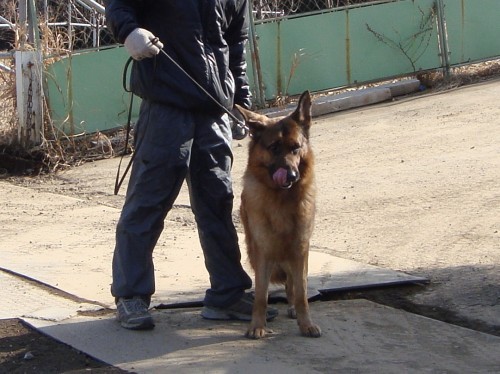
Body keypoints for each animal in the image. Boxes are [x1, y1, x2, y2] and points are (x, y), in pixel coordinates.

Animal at [234, 90, 320, 338]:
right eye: (273, 148)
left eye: (296, 148)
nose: (291, 175)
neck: (281, 200)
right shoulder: (262, 253)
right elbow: (261, 296)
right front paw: (257, 325)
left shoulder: (300, 249)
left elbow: (301, 293)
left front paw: (306, 323)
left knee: (293, 285)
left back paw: (292, 307)